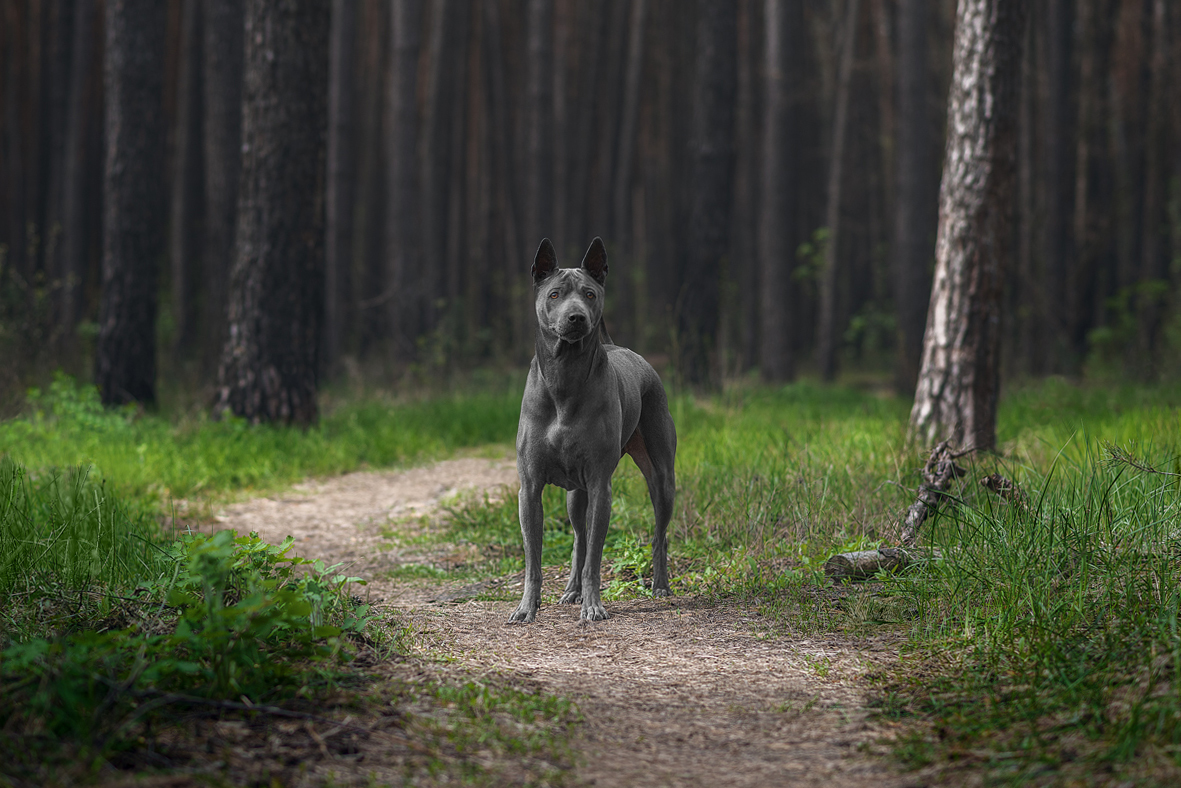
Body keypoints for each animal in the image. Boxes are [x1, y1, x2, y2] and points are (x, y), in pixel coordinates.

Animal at [510, 237, 684, 623]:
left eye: (589, 294)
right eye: (555, 294)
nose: (576, 317)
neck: (564, 379)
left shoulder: (601, 485)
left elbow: (595, 556)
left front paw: (593, 606)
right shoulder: (529, 489)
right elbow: (534, 560)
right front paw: (527, 607)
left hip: (661, 478)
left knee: (658, 534)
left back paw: (660, 586)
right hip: (576, 493)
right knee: (578, 538)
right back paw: (571, 590)